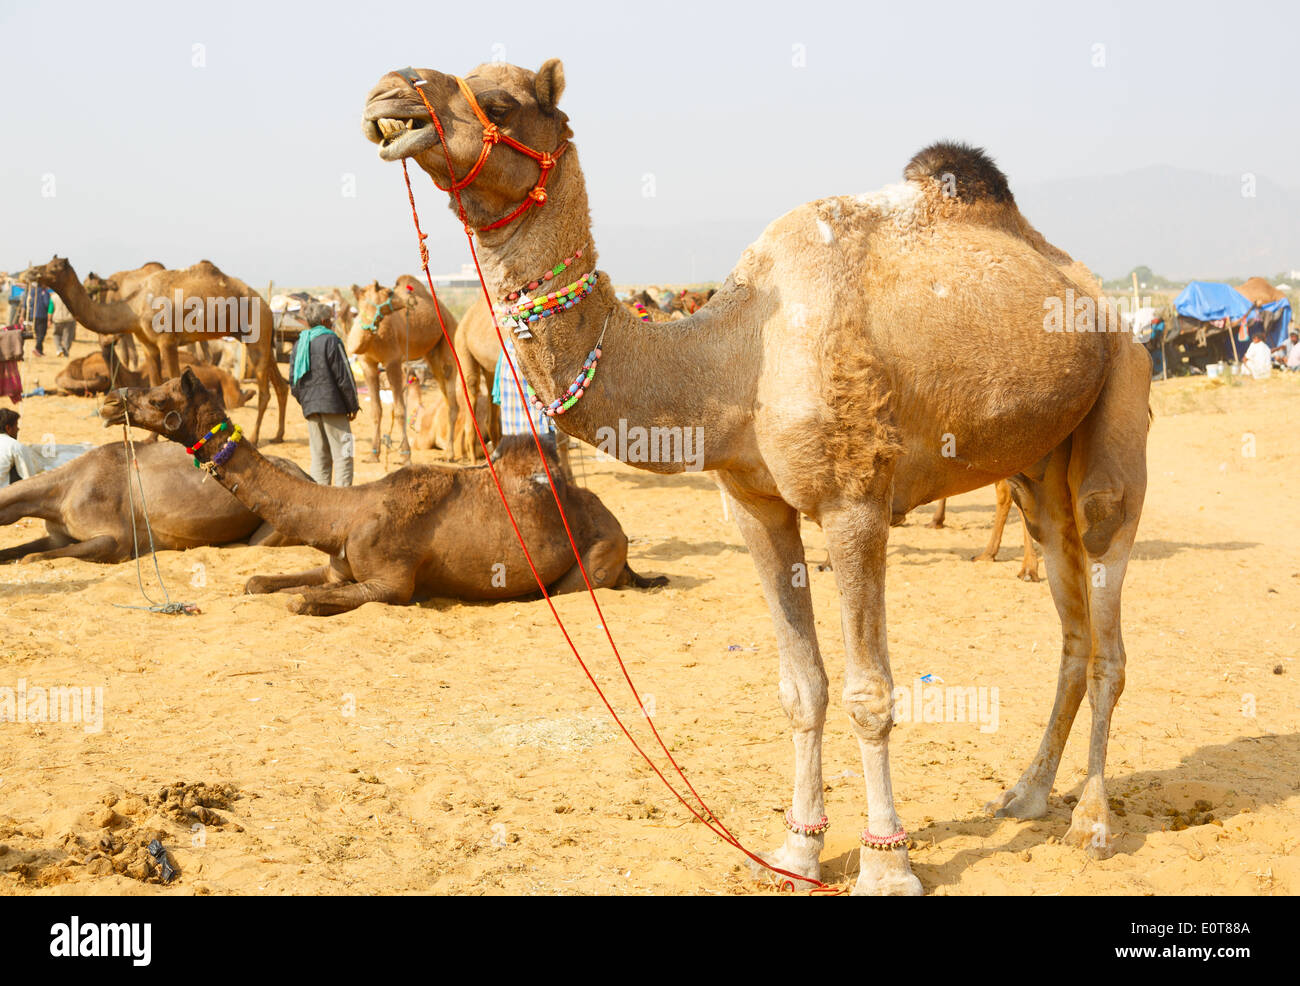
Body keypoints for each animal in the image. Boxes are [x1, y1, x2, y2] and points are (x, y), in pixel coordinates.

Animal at [0, 439, 309, 564]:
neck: (62, 491)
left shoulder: (118, 540)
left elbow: (40, 555)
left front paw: (29, 559)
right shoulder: (59, 533)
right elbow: (29, 547)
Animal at [23, 254, 289, 444]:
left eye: (55, 267)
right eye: (47, 263)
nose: (31, 272)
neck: (135, 307)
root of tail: (267, 305)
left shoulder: (167, 341)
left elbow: (172, 378)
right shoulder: (148, 344)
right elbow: (154, 380)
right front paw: (151, 436)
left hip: (256, 335)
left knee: (264, 390)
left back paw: (255, 437)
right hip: (261, 338)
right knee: (281, 384)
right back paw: (278, 435)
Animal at [100, 369, 665, 619]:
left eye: (158, 398)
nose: (111, 399)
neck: (343, 516)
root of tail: (617, 525)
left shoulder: (392, 583)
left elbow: (302, 602)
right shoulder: (337, 566)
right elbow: (259, 582)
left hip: (598, 553)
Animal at [345, 278, 462, 463]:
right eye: (389, 292)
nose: (411, 300)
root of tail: (449, 315)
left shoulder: (392, 361)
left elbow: (400, 410)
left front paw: (405, 456)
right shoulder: (367, 364)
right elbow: (375, 410)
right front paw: (373, 455)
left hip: (448, 338)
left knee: (451, 385)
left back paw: (450, 454)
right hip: (432, 356)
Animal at [364, 59, 1149, 894]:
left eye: (503, 100)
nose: (390, 95)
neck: (732, 360)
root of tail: (1098, 295)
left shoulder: (854, 500)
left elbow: (870, 691)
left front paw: (888, 862)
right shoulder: (754, 504)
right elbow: (801, 687)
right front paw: (797, 851)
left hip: (1120, 393)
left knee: (1109, 621)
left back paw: (1092, 822)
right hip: (1040, 464)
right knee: (1071, 627)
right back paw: (1029, 794)